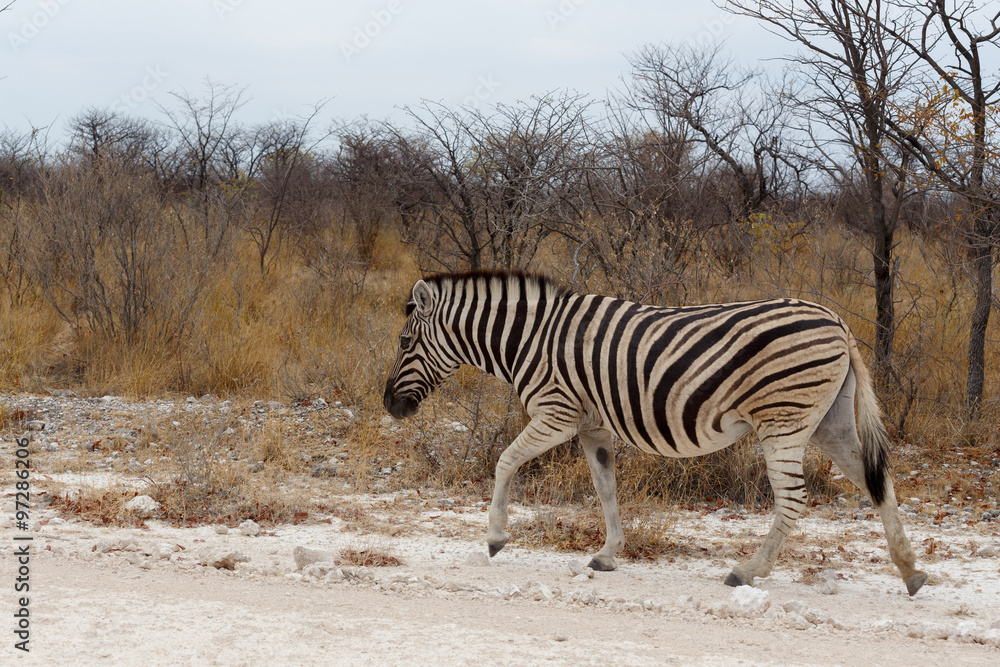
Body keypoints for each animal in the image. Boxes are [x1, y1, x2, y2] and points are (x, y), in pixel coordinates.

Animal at [383, 270, 927, 596]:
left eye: (406, 342)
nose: (390, 405)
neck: (530, 340)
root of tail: (836, 320)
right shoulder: (593, 425)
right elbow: (605, 488)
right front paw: (608, 555)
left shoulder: (557, 413)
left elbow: (506, 461)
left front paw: (496, 537)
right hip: (828, 422)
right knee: (879, 481)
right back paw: (911, 570)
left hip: (784, 420)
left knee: (794, 499)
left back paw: (747, 571)